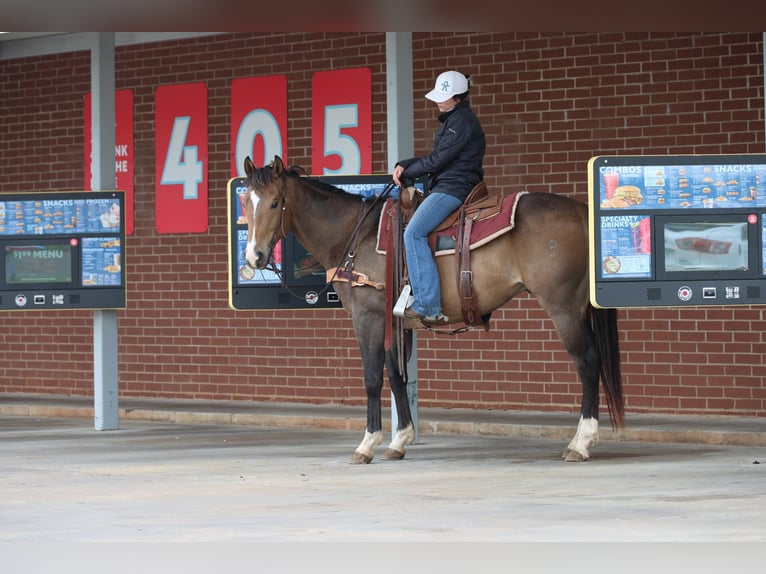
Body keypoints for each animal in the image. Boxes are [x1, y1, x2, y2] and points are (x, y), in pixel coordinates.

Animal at [242, 155, 624, 463]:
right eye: (246, 202)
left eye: (276, 203)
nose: (255, 257)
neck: (355, 235)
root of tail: (582, 211)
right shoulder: (394, 323)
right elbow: (397, 375)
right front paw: (400, 440)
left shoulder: (368, 317)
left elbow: (371, 378)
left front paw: (367, 444)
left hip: (564, 308)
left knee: (588, 363)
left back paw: (581, 443)